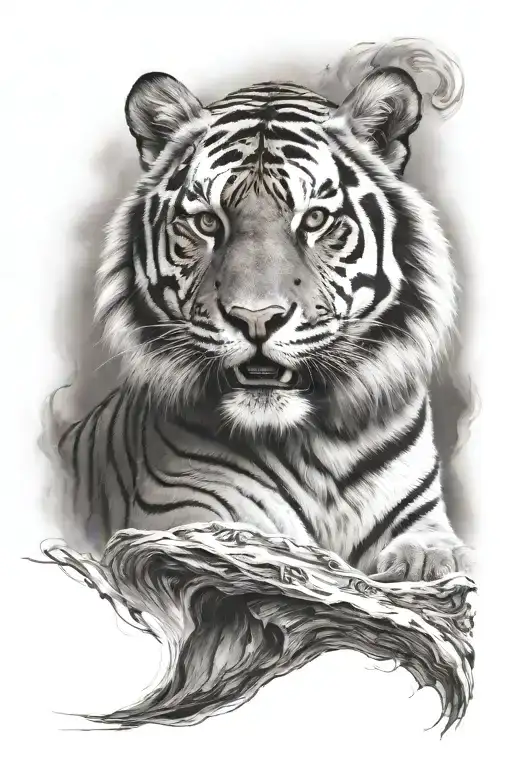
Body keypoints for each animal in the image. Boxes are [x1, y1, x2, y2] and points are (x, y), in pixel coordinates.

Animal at [56, 44, 474, 583]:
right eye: (207, 222)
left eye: (314, 219)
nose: (256, 319)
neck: (321, 444)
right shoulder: (184, 518)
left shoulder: (422, 519)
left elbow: (434, 552)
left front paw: (422, 568)